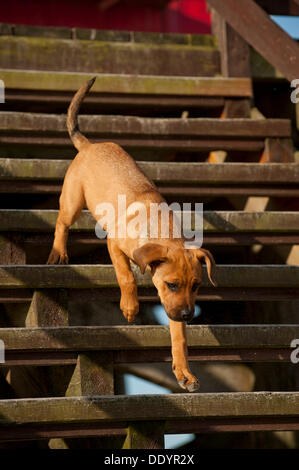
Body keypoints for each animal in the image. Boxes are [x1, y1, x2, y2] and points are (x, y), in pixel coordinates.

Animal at [47, 78, 217, 392]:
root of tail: (90, 146)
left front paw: (184, 372)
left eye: (197, 285)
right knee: (61, 223)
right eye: (172, 284)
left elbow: (179, 338)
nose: (188, 316)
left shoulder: (172, 306)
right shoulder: (115, 244)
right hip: (73, 202)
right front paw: (130, 307)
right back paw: (59, 252)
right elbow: (126, 276)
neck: (160, 230)